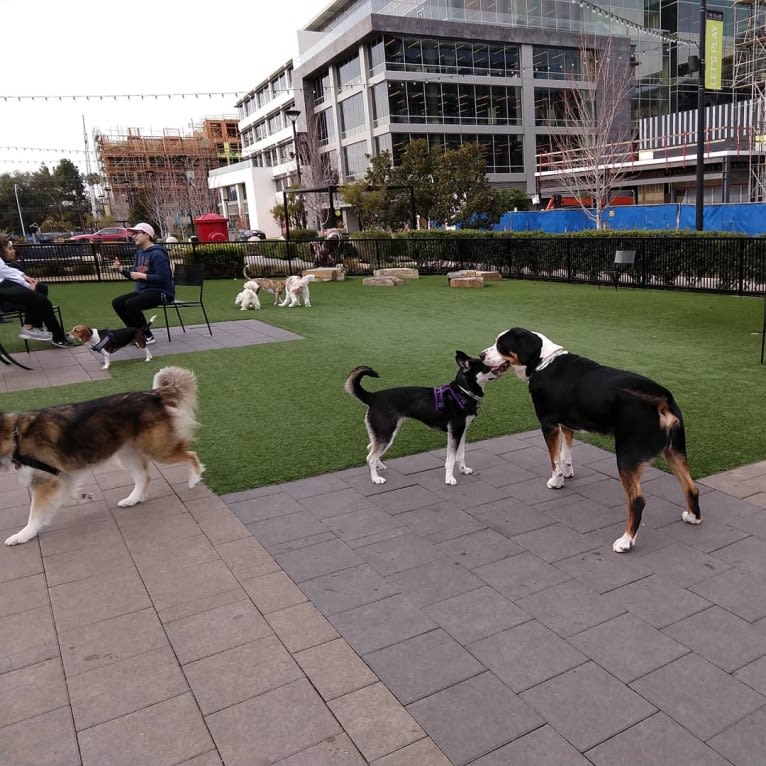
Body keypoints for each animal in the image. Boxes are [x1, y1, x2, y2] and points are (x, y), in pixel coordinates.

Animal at [1, 368, 204, 544]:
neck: (15, 434)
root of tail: (154, 394)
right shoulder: (60, 475)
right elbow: (63, 496)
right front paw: (81, 496)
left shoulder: (44, 481)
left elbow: (35, 512)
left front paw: (23, 535)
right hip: (127, 454)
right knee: (144, 476)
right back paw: (133, 499)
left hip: (159, 449)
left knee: (190, 455)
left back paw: (194, 478)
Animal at [346, 352, 500, 486]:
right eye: (486, 367)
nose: (499, 368)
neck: (462, 392)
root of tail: (373, 397)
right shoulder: (455, 432)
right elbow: (450, 459)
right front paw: (449, 478)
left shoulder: (461, 431)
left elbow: (460, 455)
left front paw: (463, 469)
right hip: (386, 434)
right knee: (370, 457)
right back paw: (376, 479)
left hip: (386, 433)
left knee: (370, 447)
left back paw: (380, 467)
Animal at [484, 328, 704, 556]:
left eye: (501, 345)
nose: (481, 355)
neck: (543, 363)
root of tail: (661, 399)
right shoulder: (567, 424)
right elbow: (566, 453)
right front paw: (567, 473)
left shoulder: (549, 424)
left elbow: (554, 459)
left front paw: (556, 481)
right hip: (675, 452)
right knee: (691, 487)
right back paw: (693, 517)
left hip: (627, 456)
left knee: (637, 501)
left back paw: (625, 541)